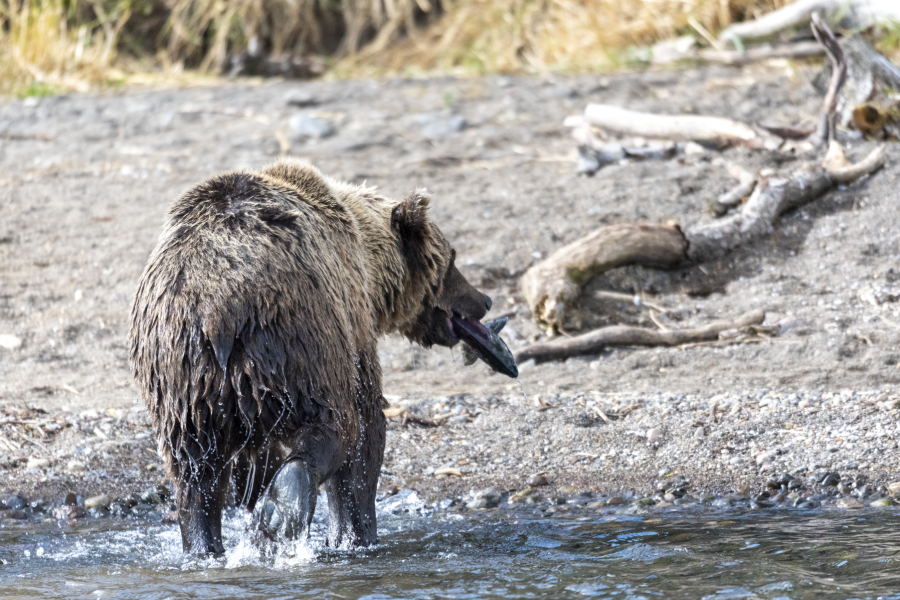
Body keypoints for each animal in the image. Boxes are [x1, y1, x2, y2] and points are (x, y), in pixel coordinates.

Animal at [129, 159, 492, 555]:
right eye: (452, 259)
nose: (484, 300)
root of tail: (215, 314)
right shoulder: (352, 330)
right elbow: (366, 434)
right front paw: (356, 535)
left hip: (184, 382)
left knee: (196, 477)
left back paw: (206, 544)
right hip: (296, 344)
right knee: (335, 425)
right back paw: (283, 506)